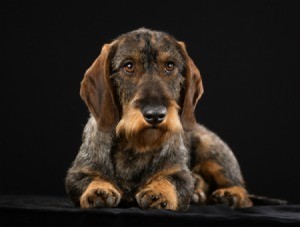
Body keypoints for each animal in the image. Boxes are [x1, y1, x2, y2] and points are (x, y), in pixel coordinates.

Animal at [65, 28, 253, 211]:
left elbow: (171, 179)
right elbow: (88, 178)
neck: (137, 146)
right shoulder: (77, 173)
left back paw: (229, 194)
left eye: (170, 65)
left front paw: (159, 191)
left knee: (243, 192)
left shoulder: (181, 175)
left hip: (213, 153)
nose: (155, 114)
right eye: (128, 66)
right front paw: (100, 188)